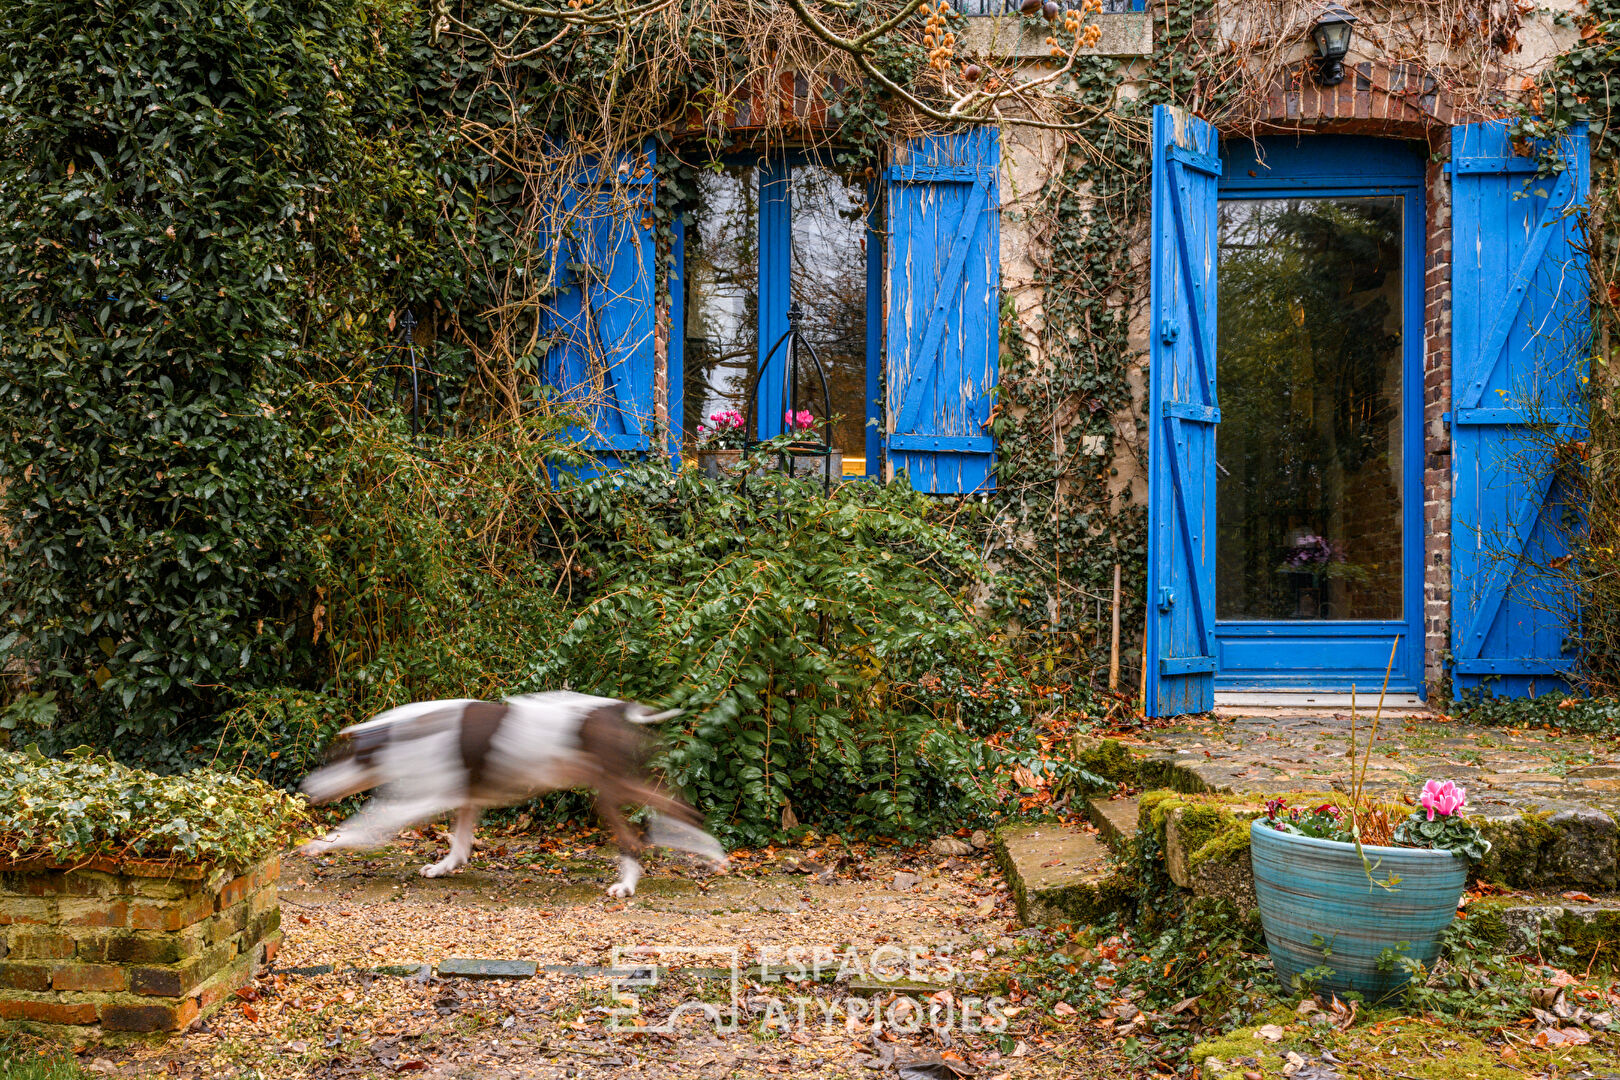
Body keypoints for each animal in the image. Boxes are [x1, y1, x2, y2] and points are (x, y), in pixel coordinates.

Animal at [298, 693, 729, 893]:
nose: (305, 789)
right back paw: (712, 854)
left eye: (336, 759)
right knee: (676, 806)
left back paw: (630, 883)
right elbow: (459, 845)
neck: (402, 734)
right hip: (613, 784)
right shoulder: (466, 799)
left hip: (608, 788)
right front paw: (442, 868)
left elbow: (361, 825)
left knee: (650, 825)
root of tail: (617, 707)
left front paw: (318, 844)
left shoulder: (418, 800)